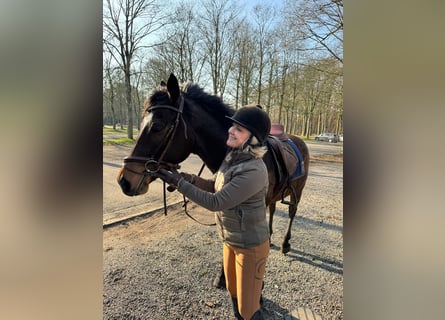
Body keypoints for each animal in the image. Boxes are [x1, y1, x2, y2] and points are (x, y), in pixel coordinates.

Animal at [116, 74, 306, 284]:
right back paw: (270, 238)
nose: (124, 180)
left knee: (292, 213)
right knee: (272, 210)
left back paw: (285, 243)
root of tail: (298, 140)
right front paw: (223, 276)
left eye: (157, 126)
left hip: (298, 192)